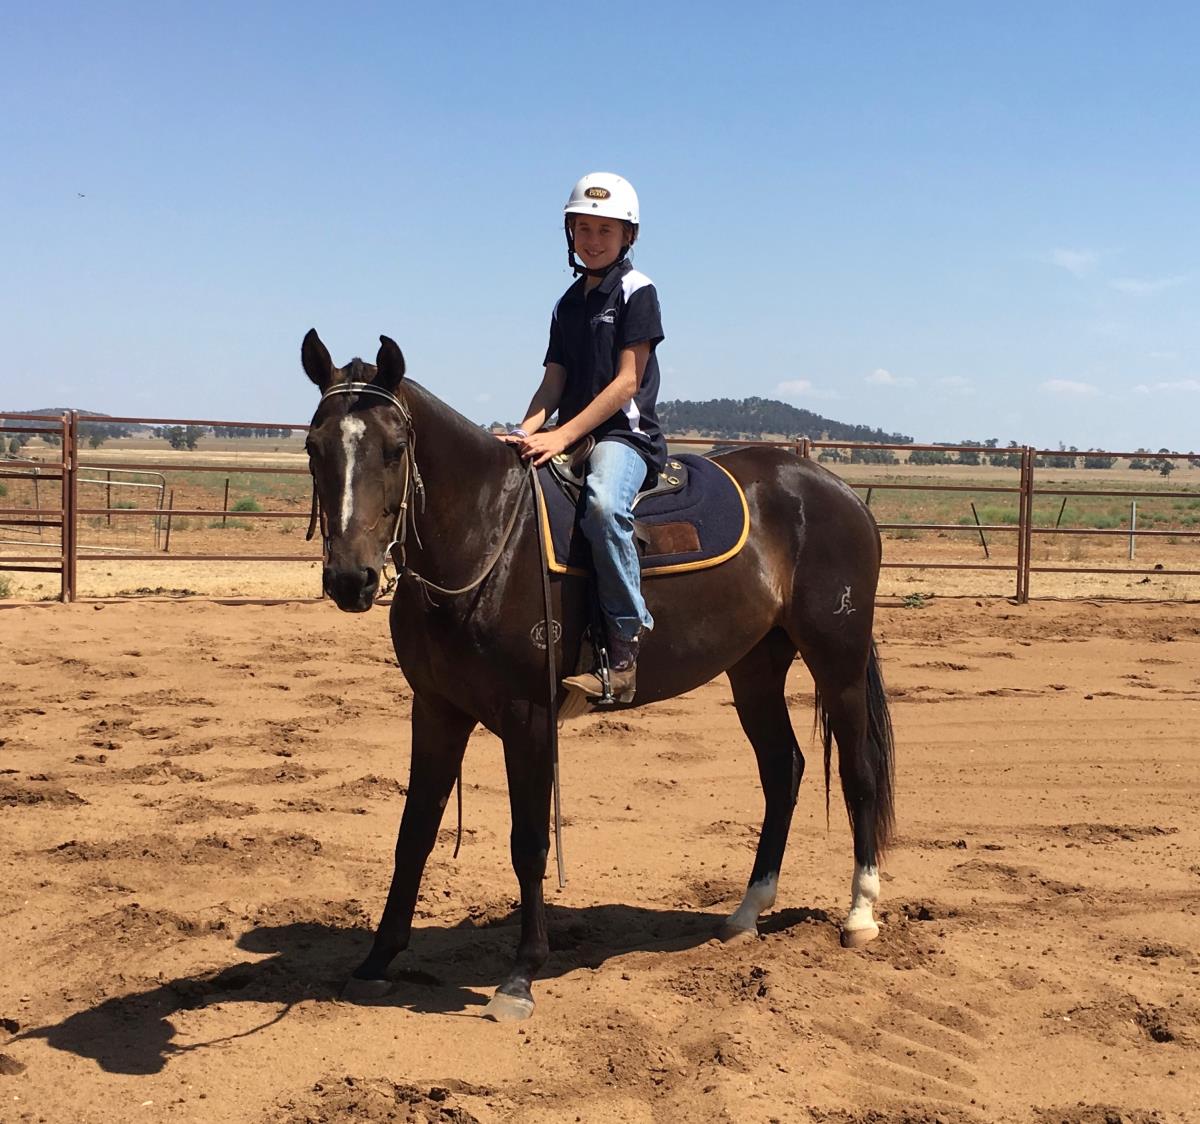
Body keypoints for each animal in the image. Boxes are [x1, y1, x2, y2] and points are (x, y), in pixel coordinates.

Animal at [300, 329, 895, 1022]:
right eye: (314, 447)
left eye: (395, 450)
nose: (351, 579)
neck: (487, 540)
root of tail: (836, 490)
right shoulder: (437, 709)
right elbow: (413, 833)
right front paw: (376, 961)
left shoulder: (528, 717)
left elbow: (529, 842)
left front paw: (520, 976)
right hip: (754, 665)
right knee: (784, 768)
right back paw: (745, 913)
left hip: (837, 657)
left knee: (857, 771)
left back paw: (859, 914)